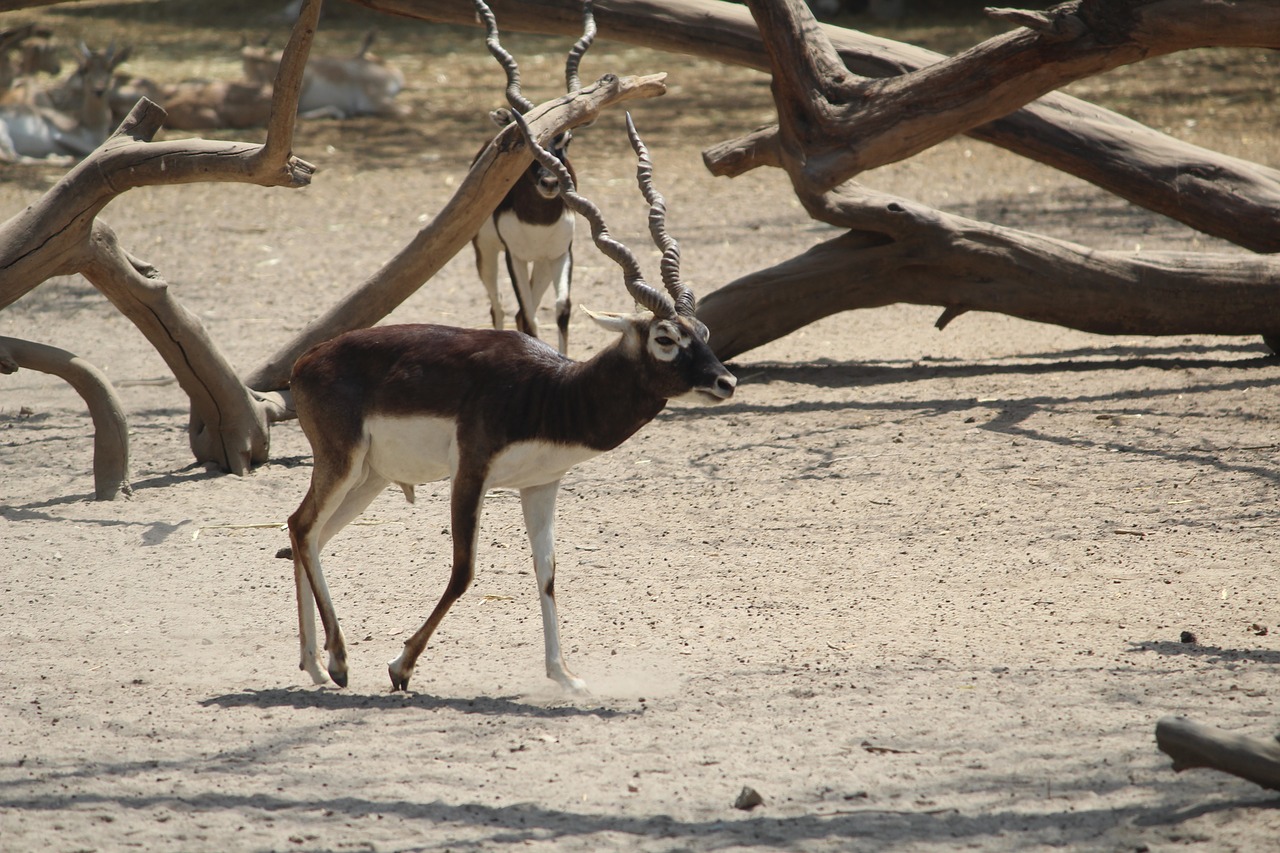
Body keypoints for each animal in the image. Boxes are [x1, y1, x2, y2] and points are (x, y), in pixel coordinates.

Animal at [285, 104, 737, 691]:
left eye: (702, 330)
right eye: (665, 338)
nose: (725, 382)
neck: (550, 393)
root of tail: (305, 362)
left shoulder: (540, 485)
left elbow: (547, 574)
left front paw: (565, 677)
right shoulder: (471, 471)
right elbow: (463, 572)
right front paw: (401, 665)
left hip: (370, 478)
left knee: (307, 535)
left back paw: (317, 665)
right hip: (342, 463)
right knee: (302, 526)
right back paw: (338, 661)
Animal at [471, 0, 593, 350]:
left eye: (566, 139)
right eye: (528, 141)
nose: (550, 182)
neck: (539, 220)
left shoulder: (561, 253)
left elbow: (562, 310)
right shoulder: (515, 257)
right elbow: (529, 316)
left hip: (540, 263)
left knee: (520, 313)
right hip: (486, 253)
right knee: (499, 307)